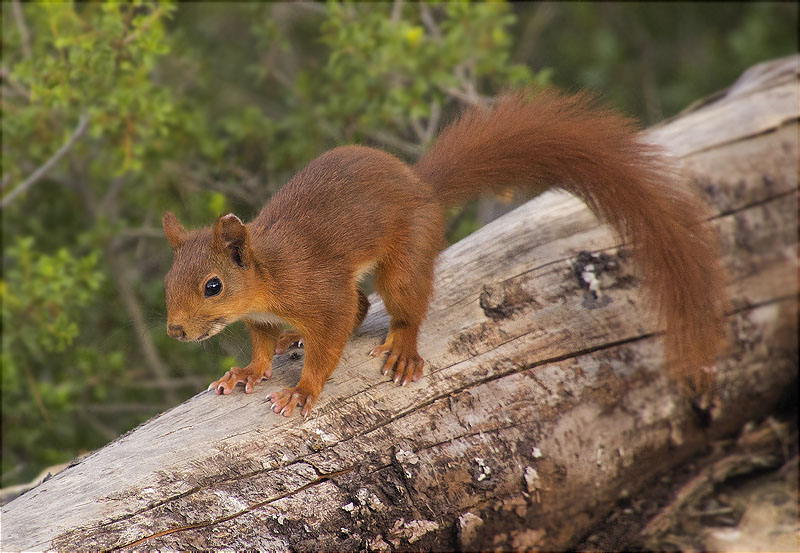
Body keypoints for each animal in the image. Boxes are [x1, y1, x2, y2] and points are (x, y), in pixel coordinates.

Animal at [161, 90, 724, 416]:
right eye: (167, 284)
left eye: (212, 286)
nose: (175, 331)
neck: (266, 278)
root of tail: (423, 189)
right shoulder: (259, 317)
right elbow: (260, 347)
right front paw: (246, 372)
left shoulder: (317, 291)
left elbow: (333, 332)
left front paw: (302, 390)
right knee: (363, 305)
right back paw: (290, 342)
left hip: (406, 255)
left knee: (392, 304)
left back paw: (402, 351)